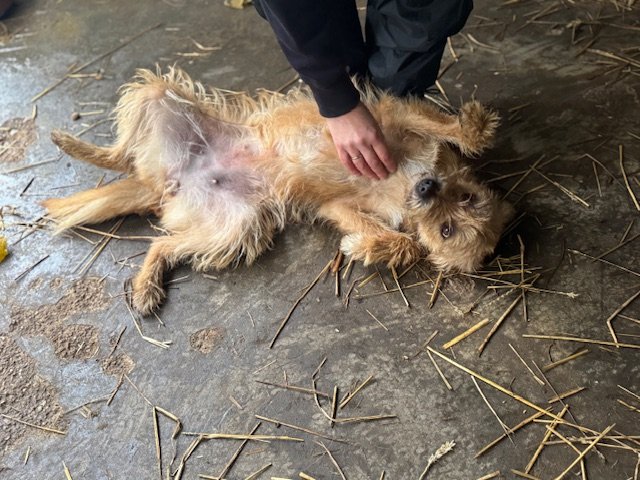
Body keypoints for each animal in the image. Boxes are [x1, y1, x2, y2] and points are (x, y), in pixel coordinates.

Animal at [43, 68, 513, 315]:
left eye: (448, 230)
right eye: (466, 197)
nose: (429, 187)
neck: (403, 185)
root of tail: (168, 182)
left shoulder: (340, 207)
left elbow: (406, 243)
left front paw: (367, 246)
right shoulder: (388, 120)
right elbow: (451, 130)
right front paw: (475, 124)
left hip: (234, 227)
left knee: (163, 244)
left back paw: (145, 287)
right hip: (159, 95)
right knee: (120, 152)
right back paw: (73, 143)